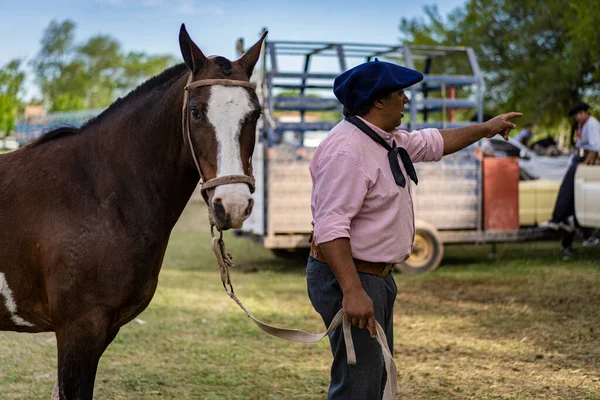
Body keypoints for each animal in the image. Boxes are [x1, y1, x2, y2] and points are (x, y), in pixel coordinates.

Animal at [0, 25, 266, 400]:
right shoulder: (78, 328)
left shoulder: (101, 330)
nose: (233, 204)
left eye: (254, 114)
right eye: (196, 112)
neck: (97, 192)